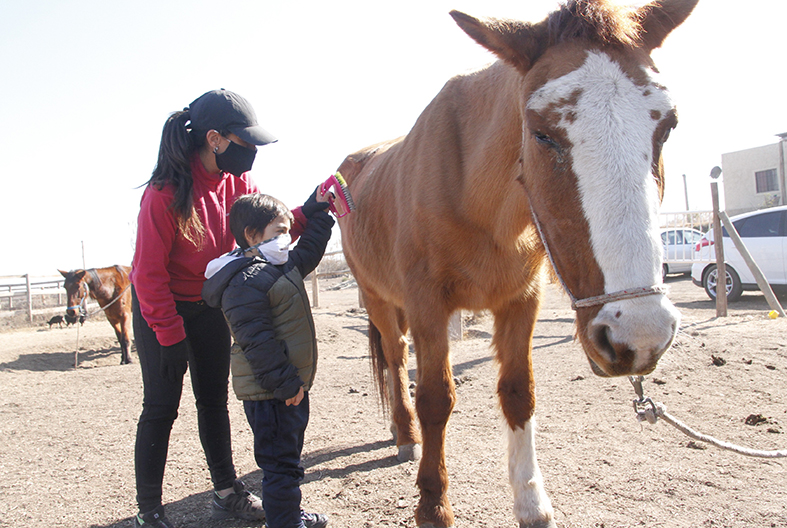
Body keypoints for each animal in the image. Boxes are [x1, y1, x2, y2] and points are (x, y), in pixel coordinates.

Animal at [334, 1, 697, 526]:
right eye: (542, 133)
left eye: (667, 126)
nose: (639, 334)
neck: (479, 201)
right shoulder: (426, 305)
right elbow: (435, 398)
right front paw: (433, 503)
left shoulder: (521, 300)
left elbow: (518, 393)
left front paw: (531, 501)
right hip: (377, 297)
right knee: (397, 356)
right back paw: (405, 433)